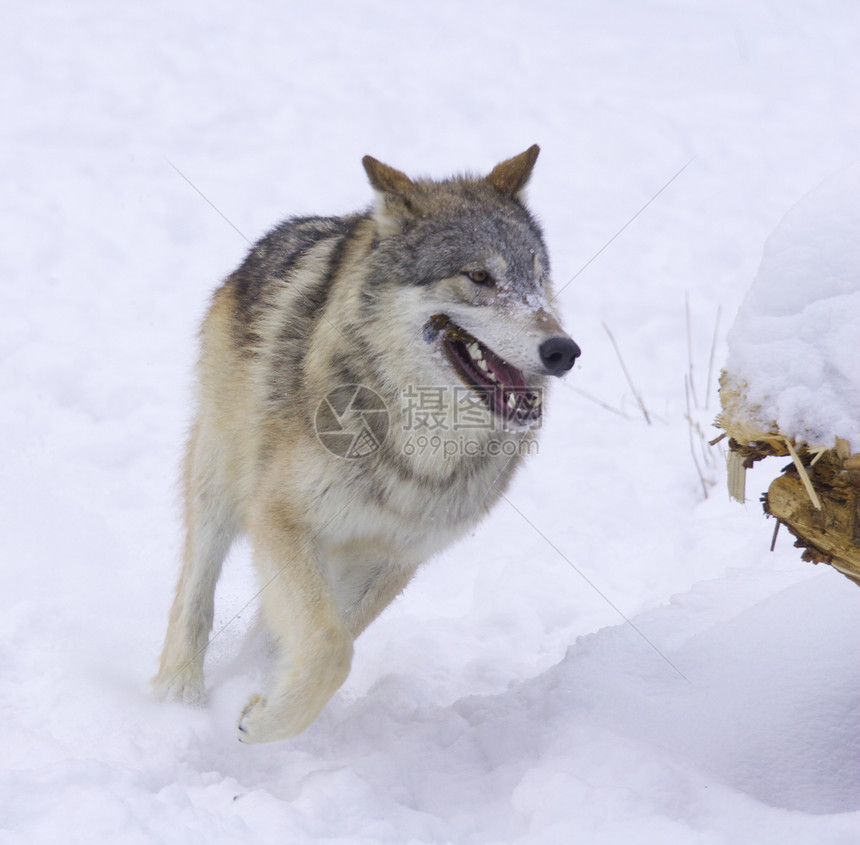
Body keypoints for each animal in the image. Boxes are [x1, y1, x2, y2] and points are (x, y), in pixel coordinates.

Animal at [155, 148, 584, 740]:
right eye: (479, 275)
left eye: (539, 278)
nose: (564, 350)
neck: (421, 448)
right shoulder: (281, 518)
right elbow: (331, 648)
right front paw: (262, 723)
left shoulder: (394, 557)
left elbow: (325, 637)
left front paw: (261, 697)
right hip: (219, 477)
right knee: (195, 587)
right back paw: (178, 692)